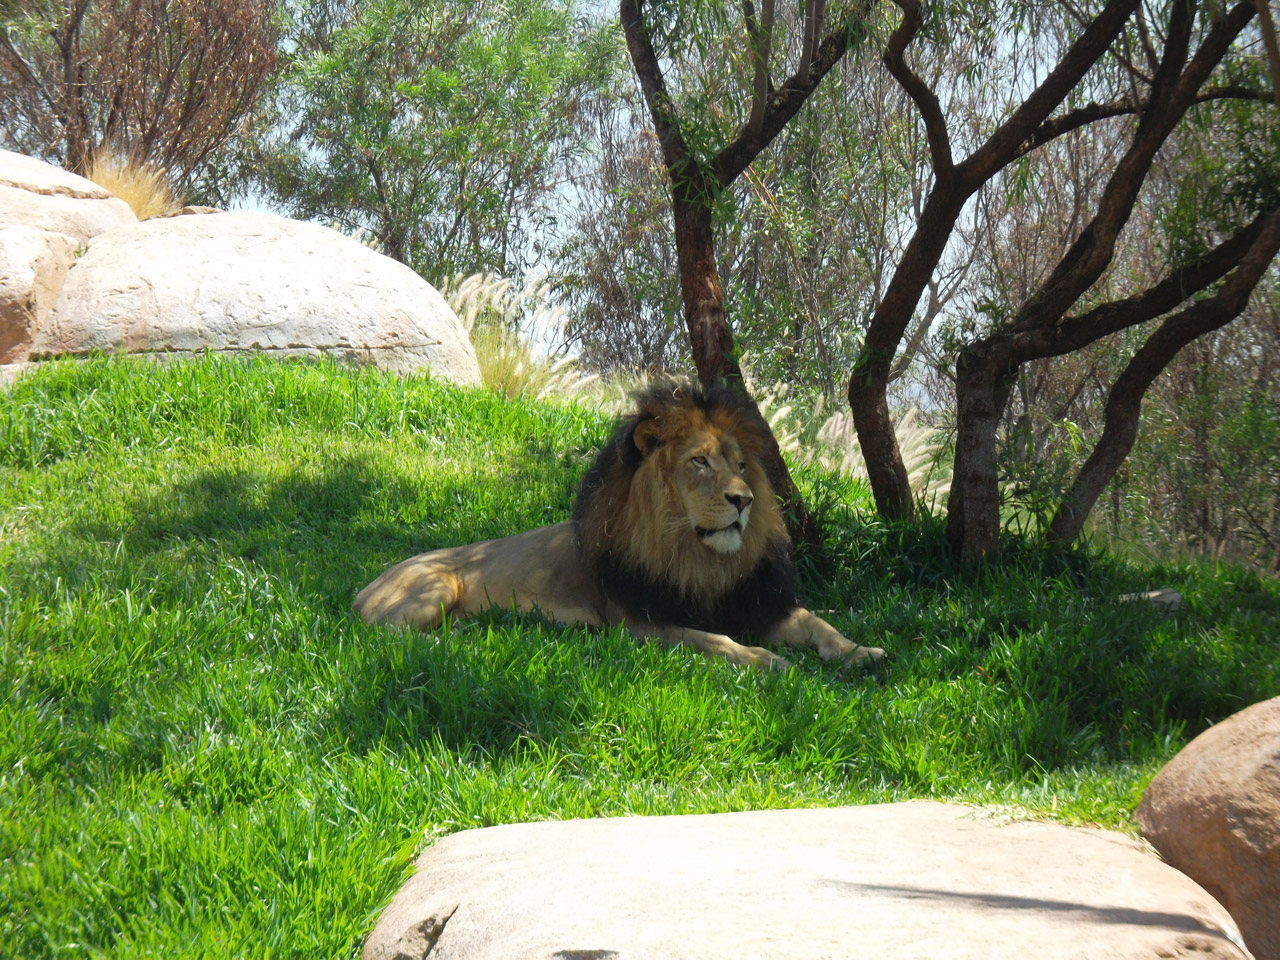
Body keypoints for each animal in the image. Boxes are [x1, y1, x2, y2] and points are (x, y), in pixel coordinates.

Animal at [355, 378, 885, 670]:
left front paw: (861, 652)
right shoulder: (641, 624)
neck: (700, 559)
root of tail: (367, 585)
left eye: (739, 465)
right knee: (386, 635)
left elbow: (819, 623)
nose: (745, 500)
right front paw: (764, 660)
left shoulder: (759, 604)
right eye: (699, 462)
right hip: (434, 586)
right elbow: (714, 640)